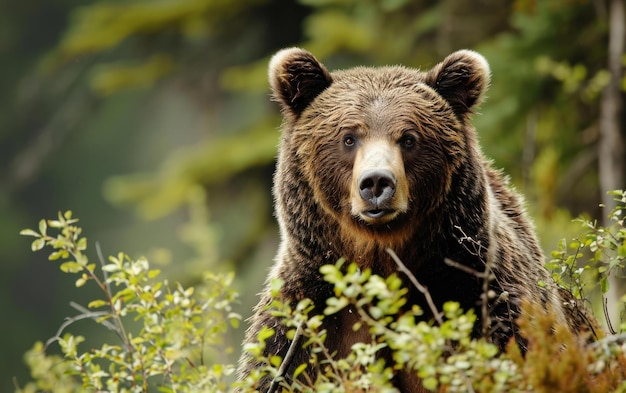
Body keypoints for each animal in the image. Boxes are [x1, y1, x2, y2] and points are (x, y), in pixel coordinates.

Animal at [235, 47, 588, 390]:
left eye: (408, 138)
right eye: (349, 137)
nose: (376, 183)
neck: (381, 255)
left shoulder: (481, 295)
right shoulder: (304, 316)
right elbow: (275, 366)